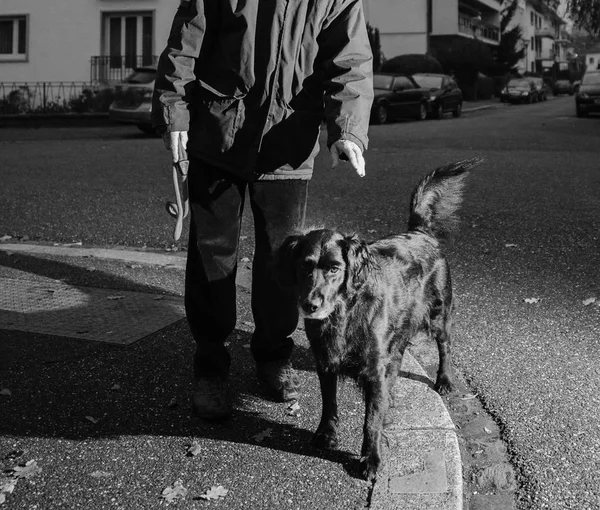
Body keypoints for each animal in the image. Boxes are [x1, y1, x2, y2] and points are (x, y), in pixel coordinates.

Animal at [274, 156, 480, 482]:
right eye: (305, 267)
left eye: (334, 268)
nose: (310, 305)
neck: (344, 313)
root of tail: (421, 232)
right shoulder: (325, 361)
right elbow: (329, 402)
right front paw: (325, 434)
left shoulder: (373, 370)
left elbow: (371, 420)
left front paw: (371, 458)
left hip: (438, 315)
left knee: (445, 347)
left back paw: (444, 379)